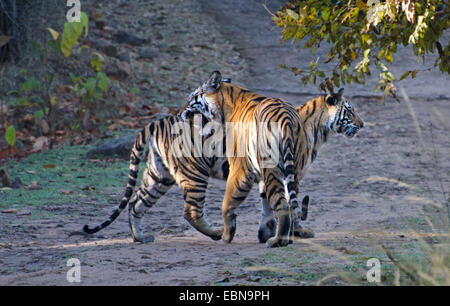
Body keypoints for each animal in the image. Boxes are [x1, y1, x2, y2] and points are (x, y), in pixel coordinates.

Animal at [81, 79, 310, 244]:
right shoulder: (246, 171)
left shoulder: (248, 170)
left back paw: (141, 238)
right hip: (193, 173)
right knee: (189, 211)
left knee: (138, 203)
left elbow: (259, 204)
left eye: (192, 97)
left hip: (161, 175)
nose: (181, 111)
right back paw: (223, 234)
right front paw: (231, 234)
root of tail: (157, 122)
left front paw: (264, 233)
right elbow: (233, 204)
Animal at [181, 70, 364, 247]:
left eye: (191, 98)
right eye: (350, 111)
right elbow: (258, 204)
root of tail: (285, 117)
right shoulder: (275, 172)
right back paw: (277, 239)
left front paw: (244, 234)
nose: (362, 124)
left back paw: (275, 240)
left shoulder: (246, 170)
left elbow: (233, 204)